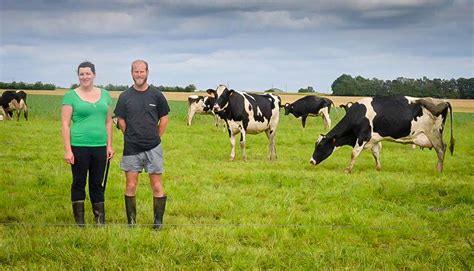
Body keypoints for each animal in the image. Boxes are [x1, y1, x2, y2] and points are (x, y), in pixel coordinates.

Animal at [310, 96, 454, 173]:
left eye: (320, 146)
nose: (311, 161)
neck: (358, 114)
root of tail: (443, 101)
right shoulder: (374, 138)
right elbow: (376, 153)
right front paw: (378, 168)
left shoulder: (363, 136)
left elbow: (354, 153)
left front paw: (348, 170)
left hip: (434, 134)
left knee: (441, 149)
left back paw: (439, 170)